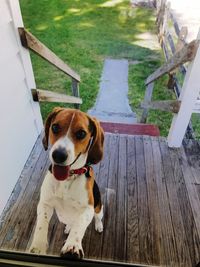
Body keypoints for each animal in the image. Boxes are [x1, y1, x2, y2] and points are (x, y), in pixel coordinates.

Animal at [30, 108, 104, 260]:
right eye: (55, 127)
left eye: (81, 133)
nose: (59, 155)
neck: (68, 178)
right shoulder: (45, 203)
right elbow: (41, 224)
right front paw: (38, 246)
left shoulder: (87, 209)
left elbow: (79, 226)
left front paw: (72, 246)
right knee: (70, 222)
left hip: (99, 208)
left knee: (97, 217)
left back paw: (99, 225)